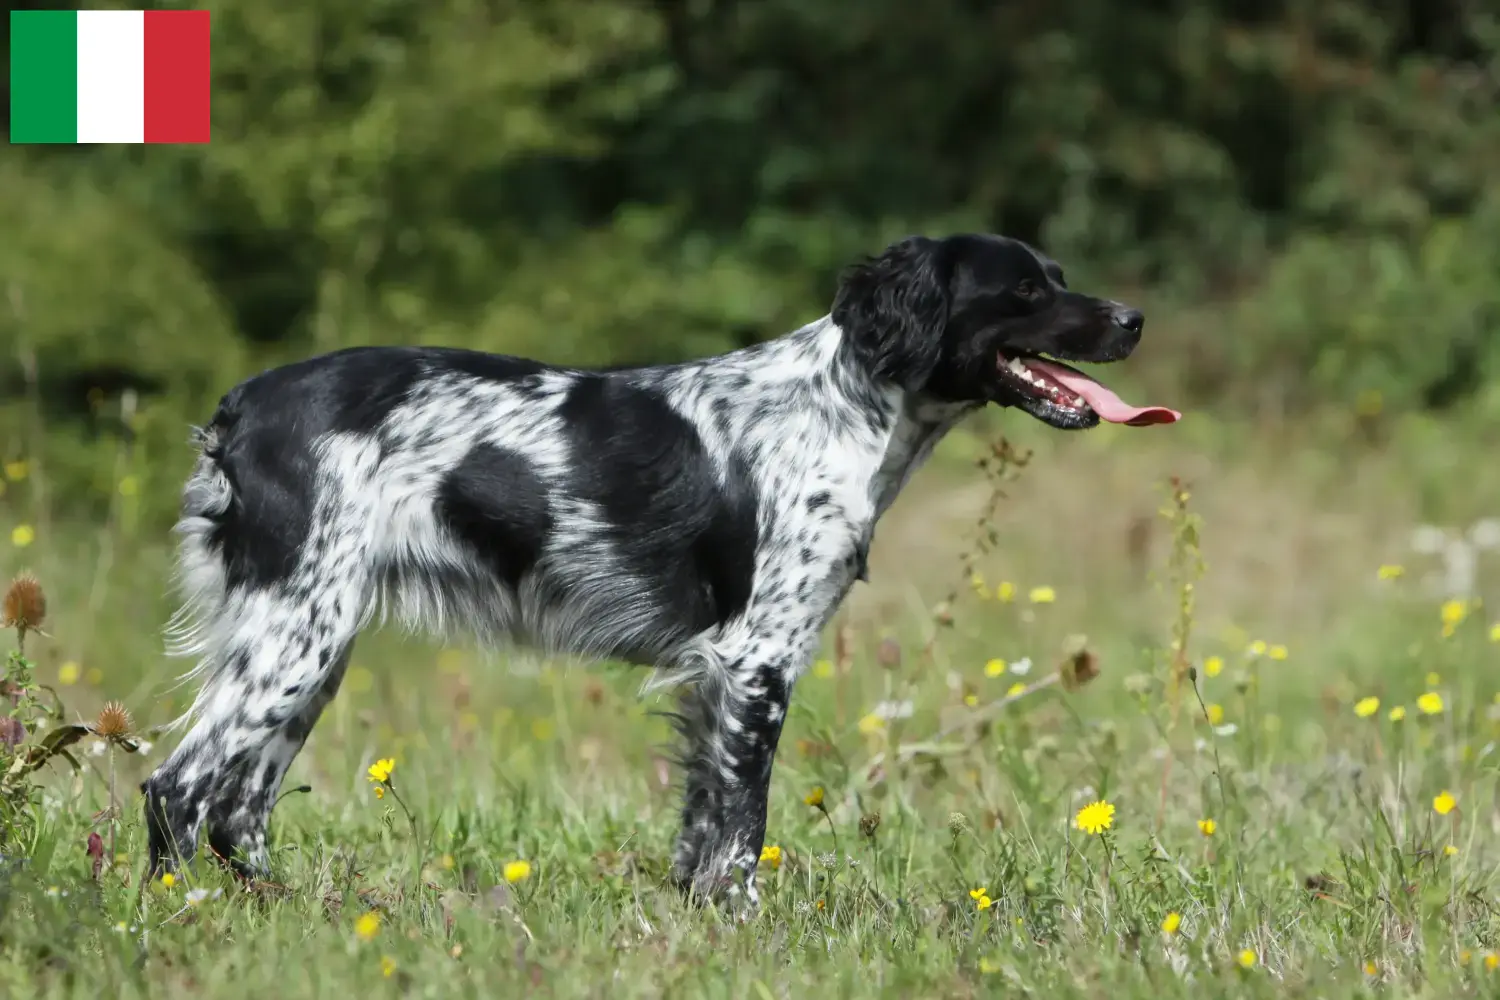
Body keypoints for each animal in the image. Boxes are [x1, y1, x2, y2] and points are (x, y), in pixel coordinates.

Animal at [143, 230, 1170, 905]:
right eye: (1026, 291)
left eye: (1060, 278)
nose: (1133, 318)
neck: (842, 407)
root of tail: (240, 408)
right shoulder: (757, 659)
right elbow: (743, 830)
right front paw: (748, 927)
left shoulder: (719, 674)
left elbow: (706, 823)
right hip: (296, 635)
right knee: (179, 788)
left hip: (312, 644)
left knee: (240, 807)